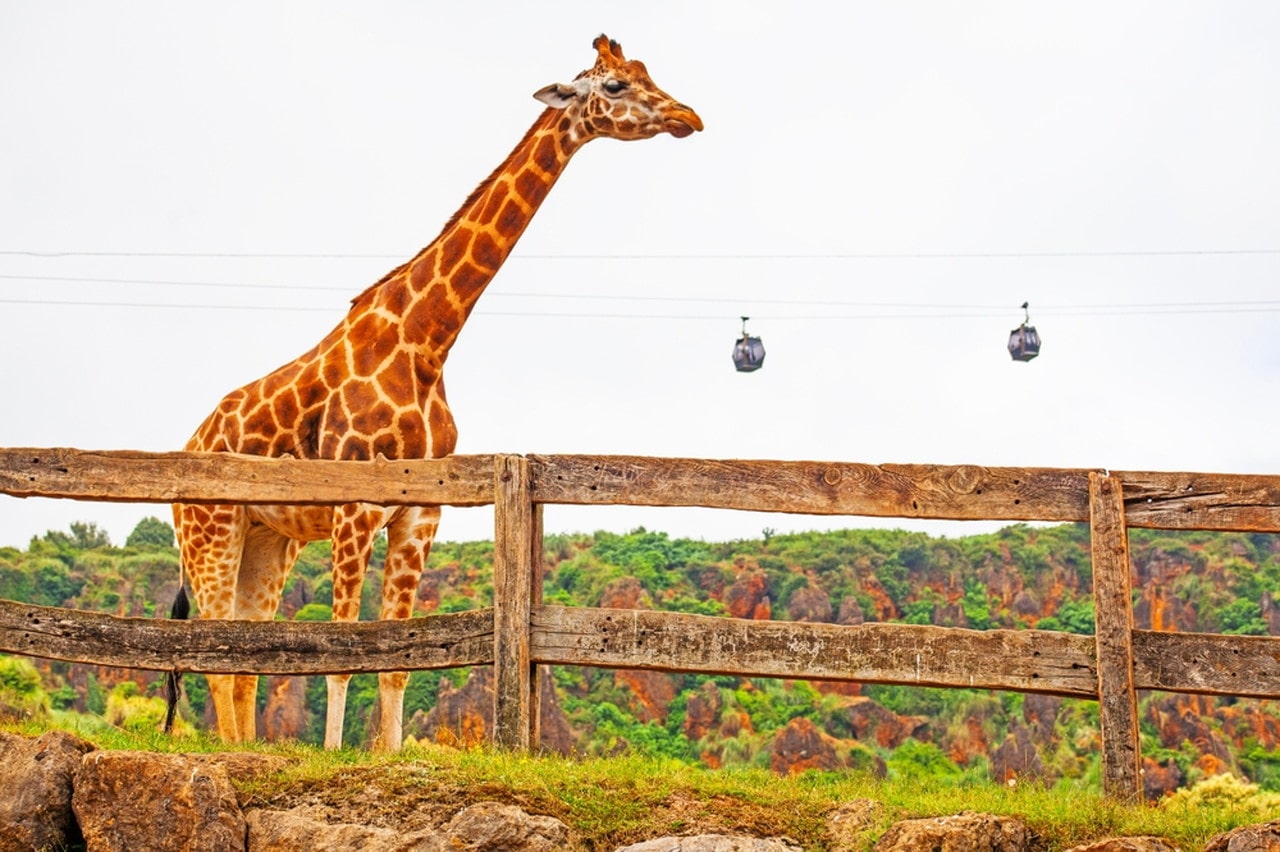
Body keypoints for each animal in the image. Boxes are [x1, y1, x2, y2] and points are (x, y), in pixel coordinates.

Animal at [170, 34, 701, 752]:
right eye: (614, 86)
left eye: (646, 72)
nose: (688, 115)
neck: (427, 341)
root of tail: (185, 445)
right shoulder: (357, 506)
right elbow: (342, 655)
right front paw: (338, 760)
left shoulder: (421, 512)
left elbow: (396, 664)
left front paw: (388, 757)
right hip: (209, 531)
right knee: (214, 659)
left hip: (266, 541)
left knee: (242, 661)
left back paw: (246, 749)